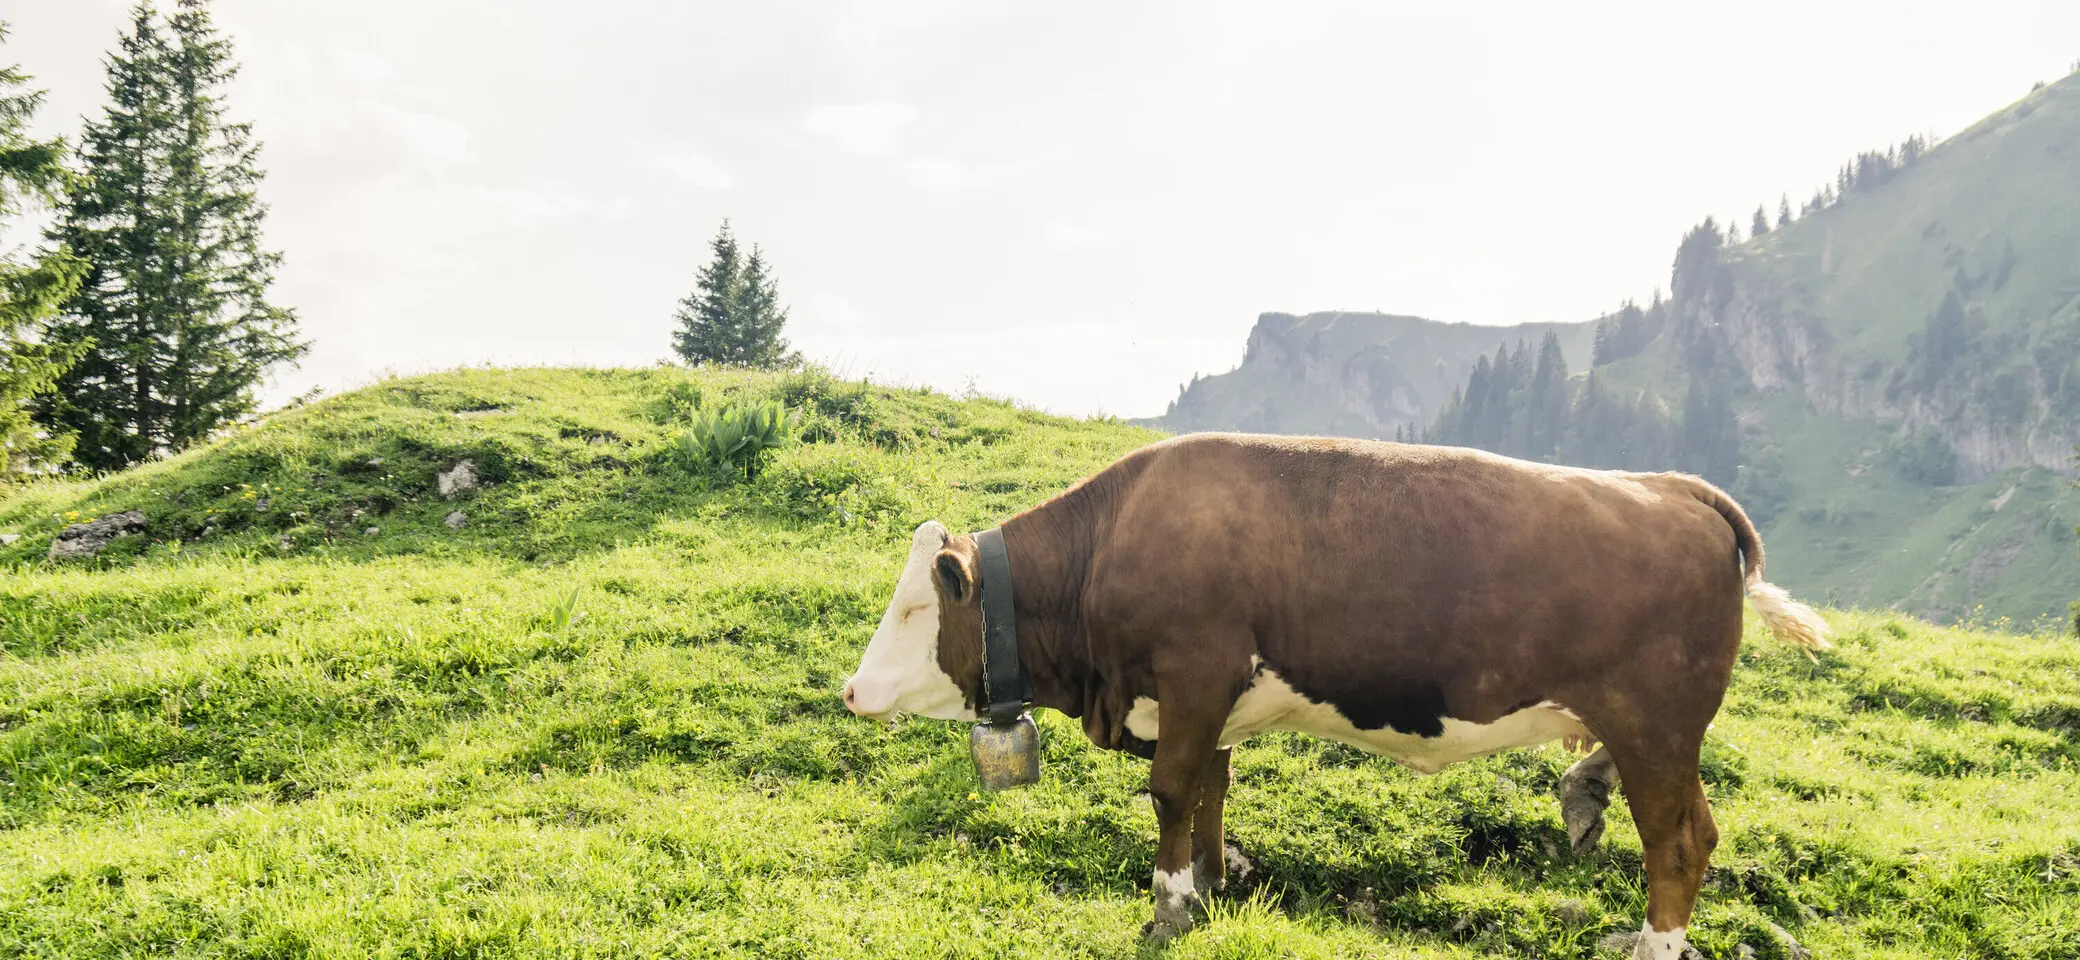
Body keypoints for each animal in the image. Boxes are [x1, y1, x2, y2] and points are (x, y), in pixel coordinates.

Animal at [842, 432, 1830, 958]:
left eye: (912, 607)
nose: (852, 690)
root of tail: (1676, 489)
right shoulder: (1213, 697)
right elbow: (1211, 786)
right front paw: (1214, 878)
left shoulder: (1195, 671)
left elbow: (1170, 791)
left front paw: (1170, 905)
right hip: (1646, 728)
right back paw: (1586, 801)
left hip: (1658, 724)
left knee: (1682, 840)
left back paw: (1654, 940)